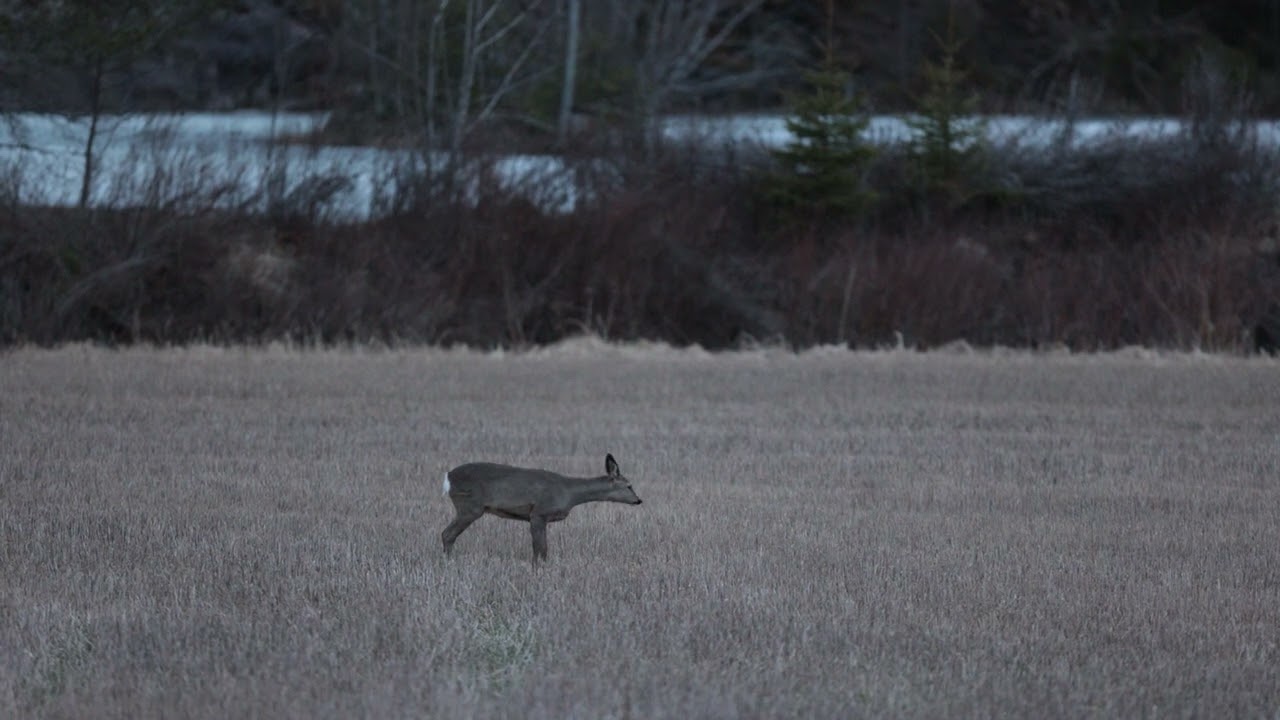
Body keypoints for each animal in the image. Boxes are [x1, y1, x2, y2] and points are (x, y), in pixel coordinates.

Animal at [441, 453, 642, 562]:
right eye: (629, 485)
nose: (638, 500)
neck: (569, 492)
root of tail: (448, 477)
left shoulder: (540, 517)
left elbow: (541, 547)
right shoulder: (539, 513)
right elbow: (540, 548)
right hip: (470, 507)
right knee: (447, 534)